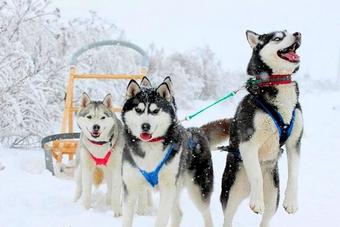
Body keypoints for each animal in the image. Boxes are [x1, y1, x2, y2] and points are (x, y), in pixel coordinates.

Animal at [121, 79, 227, 227]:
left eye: (155, 111)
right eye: (138, 110)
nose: (145, 126)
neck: (150, 148)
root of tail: (197, 131)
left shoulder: (167, 188)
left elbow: (161, 220)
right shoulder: (130, 187)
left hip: (197, 189)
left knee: (206, 213)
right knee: (178, 214)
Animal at [220, 30, 302, 227]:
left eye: (288, 31)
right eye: (278, 37)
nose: (297, 33)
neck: (277, 82)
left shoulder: (295, 143)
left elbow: (294, 173)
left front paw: (291, 202)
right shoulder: (248, 142)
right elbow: (256, 173)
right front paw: (257, 202)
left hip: (273, 196)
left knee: (266, 217)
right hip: (231, 193)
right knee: (228, 217)